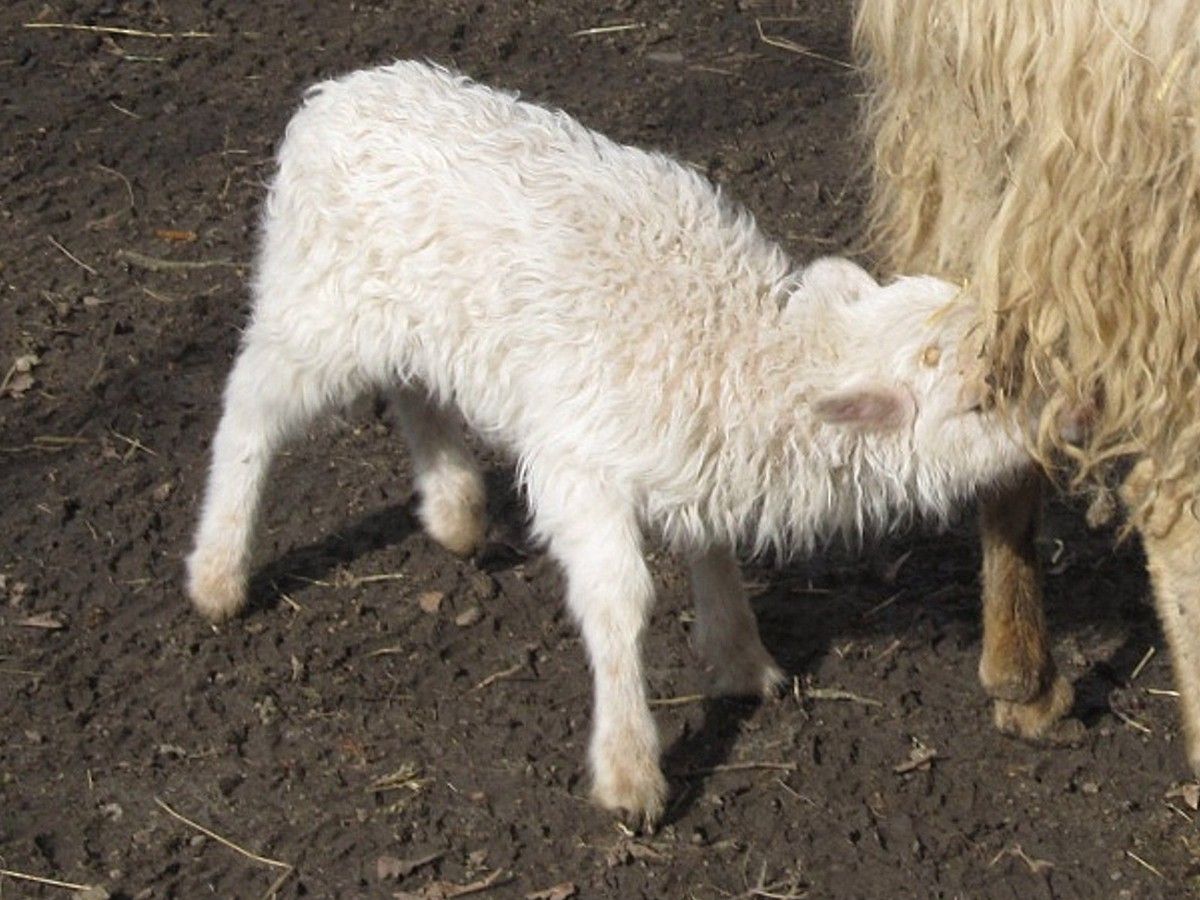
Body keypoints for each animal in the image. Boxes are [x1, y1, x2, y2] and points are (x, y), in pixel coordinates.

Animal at [186, 61, 1031, 825]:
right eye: (980, 400)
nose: (1057, 436)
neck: (735, 349)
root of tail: (333, 98)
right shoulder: (578, 466)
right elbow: (619, 600)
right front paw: (630, 770)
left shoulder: (698, 453)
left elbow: (711, 548)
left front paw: (739, 658)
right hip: (316, 306)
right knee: (249, 410)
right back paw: (218, 571)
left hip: (411, 319)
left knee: (413, 388)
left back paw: (455, 510)